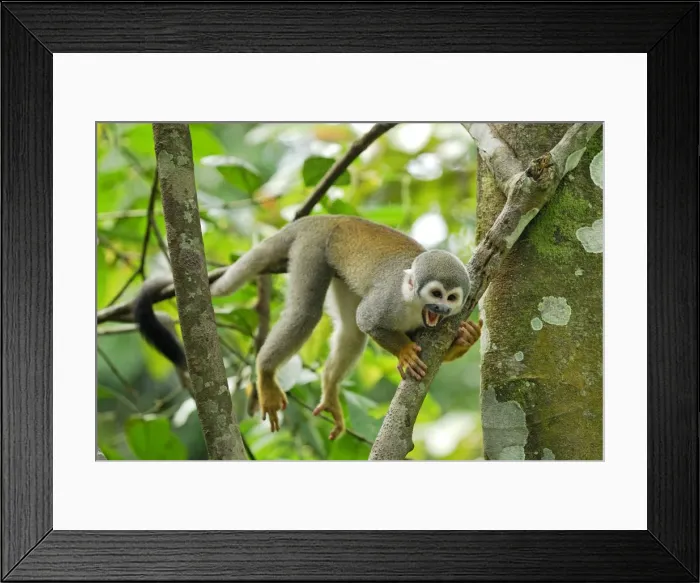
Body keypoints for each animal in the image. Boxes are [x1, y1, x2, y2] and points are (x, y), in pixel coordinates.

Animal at [134, 215, 482, 440]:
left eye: (452, 297)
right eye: (435, 294)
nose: (441, 308)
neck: (413, 305)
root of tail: (325, 217)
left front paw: (464, 339)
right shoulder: (389, 300)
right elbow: (367, 320)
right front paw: (406, 352)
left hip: (340, 270)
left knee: (350, 331)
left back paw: (329, 388)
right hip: (312, 249)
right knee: (308, 314)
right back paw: (265, 372)